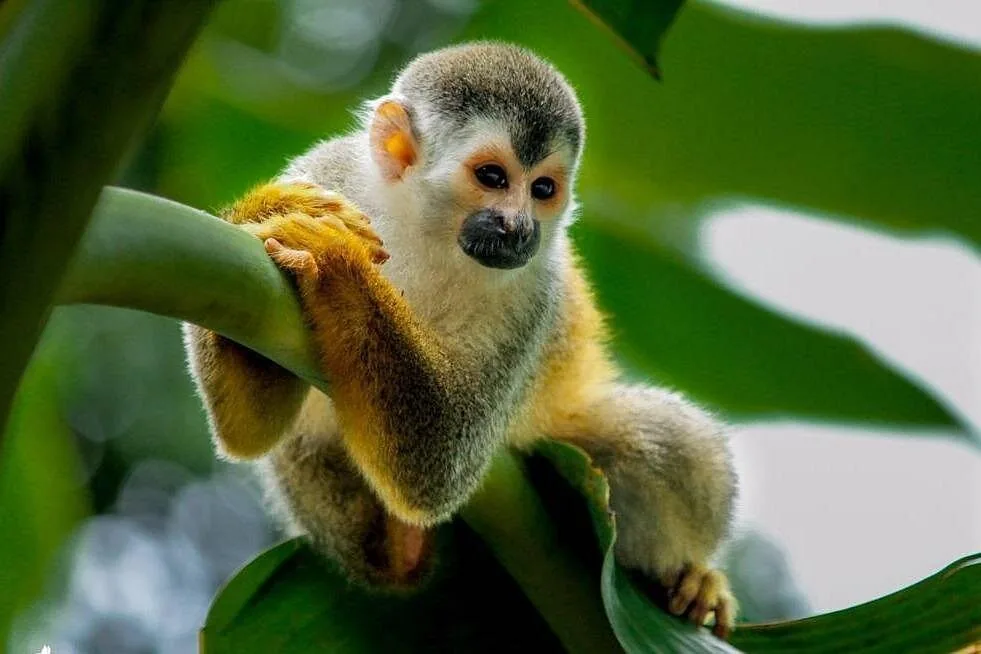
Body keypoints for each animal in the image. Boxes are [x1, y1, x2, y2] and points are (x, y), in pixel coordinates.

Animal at [183, 42, 738, 637]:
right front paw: (265, 210)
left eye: (543, 189)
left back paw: (694, 577)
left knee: (663, 444)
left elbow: (439, 462)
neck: (428, 233)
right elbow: (248, 431)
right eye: (492, 177)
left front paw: (335, 260)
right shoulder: (326, 172)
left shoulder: (535, 295)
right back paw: (394, 551)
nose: (520, 227)